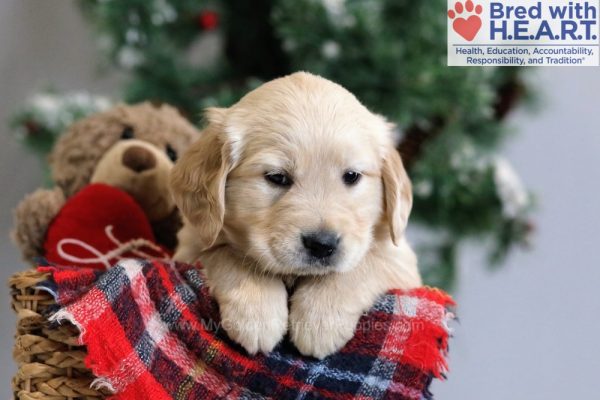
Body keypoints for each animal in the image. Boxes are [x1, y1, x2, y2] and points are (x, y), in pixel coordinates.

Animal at [170, 72, 422, 360]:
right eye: (277, 177)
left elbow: (364, 263)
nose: (322, 245)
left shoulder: (400, 261)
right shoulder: (191, 245)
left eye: (352, 176)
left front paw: (321, 319)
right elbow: (226, 254)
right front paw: (257, 313)